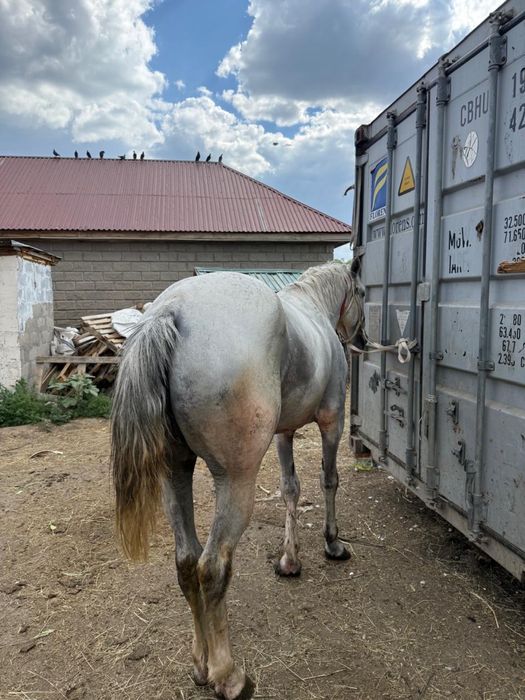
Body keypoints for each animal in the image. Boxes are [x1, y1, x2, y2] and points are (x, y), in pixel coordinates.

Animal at [111, 259, 366, 700]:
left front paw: (289, 560)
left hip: (175, 474)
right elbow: (328, 480)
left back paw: (201, 666)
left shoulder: (284, 433)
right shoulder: (331, 422)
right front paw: (332, 544)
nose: (362, 340)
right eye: (363, 293)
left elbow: (291, 489)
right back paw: (228, 676)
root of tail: (172, 310)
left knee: (187, 560)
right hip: (235, 482)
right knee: (212, 567)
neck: (313, 307)